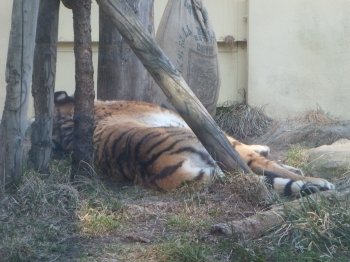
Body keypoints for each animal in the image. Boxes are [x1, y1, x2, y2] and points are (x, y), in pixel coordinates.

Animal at [52, 91, 336, 195]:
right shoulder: (199, 126)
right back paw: (318, 182)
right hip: (200, 142)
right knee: (261, 166)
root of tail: (155, 168)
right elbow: (240, 144)